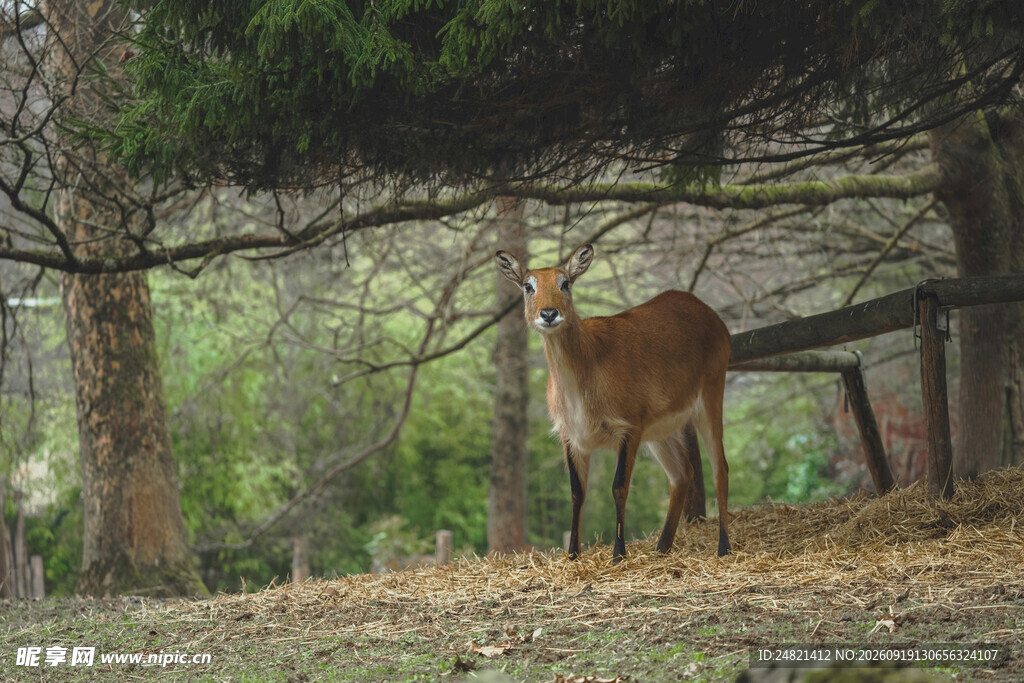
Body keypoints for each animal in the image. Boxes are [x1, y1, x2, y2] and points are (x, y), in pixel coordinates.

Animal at [495, 244, 732, 562]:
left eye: (565, 282)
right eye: (527, 285)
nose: (549, 313)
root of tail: (712, 316)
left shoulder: (629, 427)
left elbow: (619, 486)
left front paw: (619, 554)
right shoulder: (571, 437)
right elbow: (577, 492)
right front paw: (572, 555)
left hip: (711, 396)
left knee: (721, 468)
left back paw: (724, 548)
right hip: (661, 430)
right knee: (683, 474)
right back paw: (661, 549)